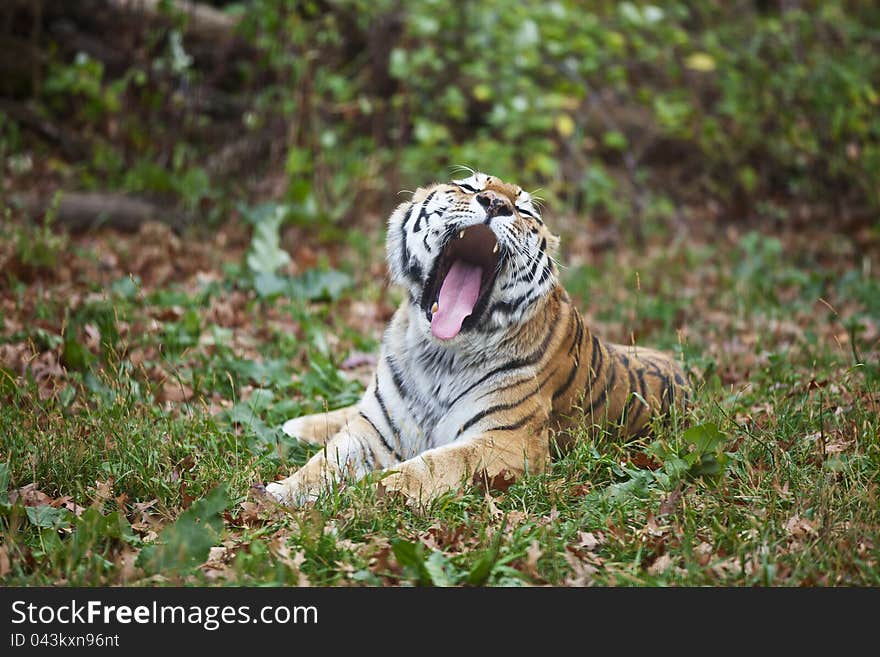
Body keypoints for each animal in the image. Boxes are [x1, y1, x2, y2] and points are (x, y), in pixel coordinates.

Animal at [264, 172, 692, 504]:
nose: (494, 203)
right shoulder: (374, 429)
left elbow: (429, 466)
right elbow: (326, 460)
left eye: (523, 210)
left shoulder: (506, 442)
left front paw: (365, 494)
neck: (439, 352)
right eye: (469, 187)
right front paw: (281, 494)